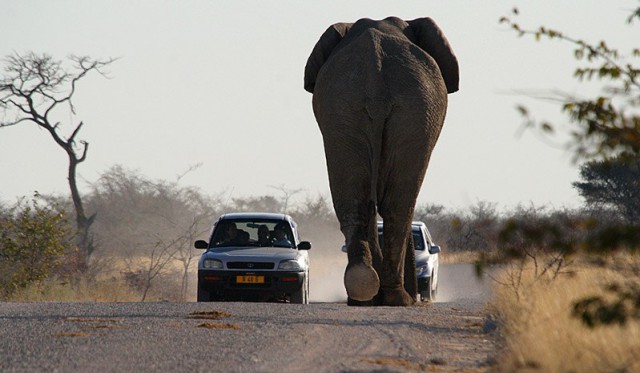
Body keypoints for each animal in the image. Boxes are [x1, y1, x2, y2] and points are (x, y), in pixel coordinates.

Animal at [302, 16, 458, 306]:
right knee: (399, 206)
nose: (420, 295)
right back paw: (399, 299)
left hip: (344, 110)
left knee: (357, 201)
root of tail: (376, 86)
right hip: (414, 112)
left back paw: (363, 291)